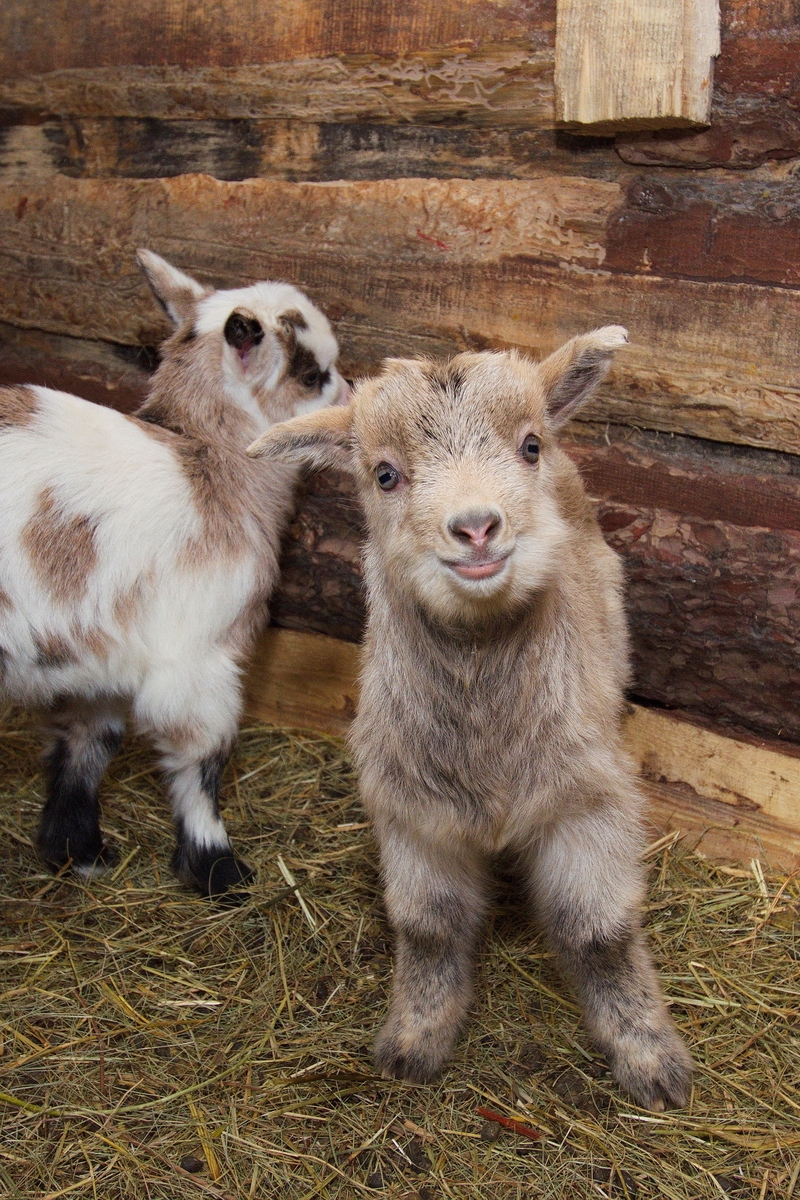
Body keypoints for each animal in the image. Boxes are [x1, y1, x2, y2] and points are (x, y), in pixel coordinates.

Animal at [1, 250, 347, 892]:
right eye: (313, 374)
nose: (352, 395)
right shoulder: (196, 657)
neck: (211, 466)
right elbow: (201, 760)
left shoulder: (96, 652)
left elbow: (88, 741)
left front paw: (77, 850)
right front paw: (217, 868)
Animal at [250, 326, 695, 1104]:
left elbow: (599, 932)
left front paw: (650, 1057)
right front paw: (414, 1041)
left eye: (528, 446)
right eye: (386, 475)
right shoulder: (413, 815)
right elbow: (428, 929)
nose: (477, 527)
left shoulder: (588, 801)